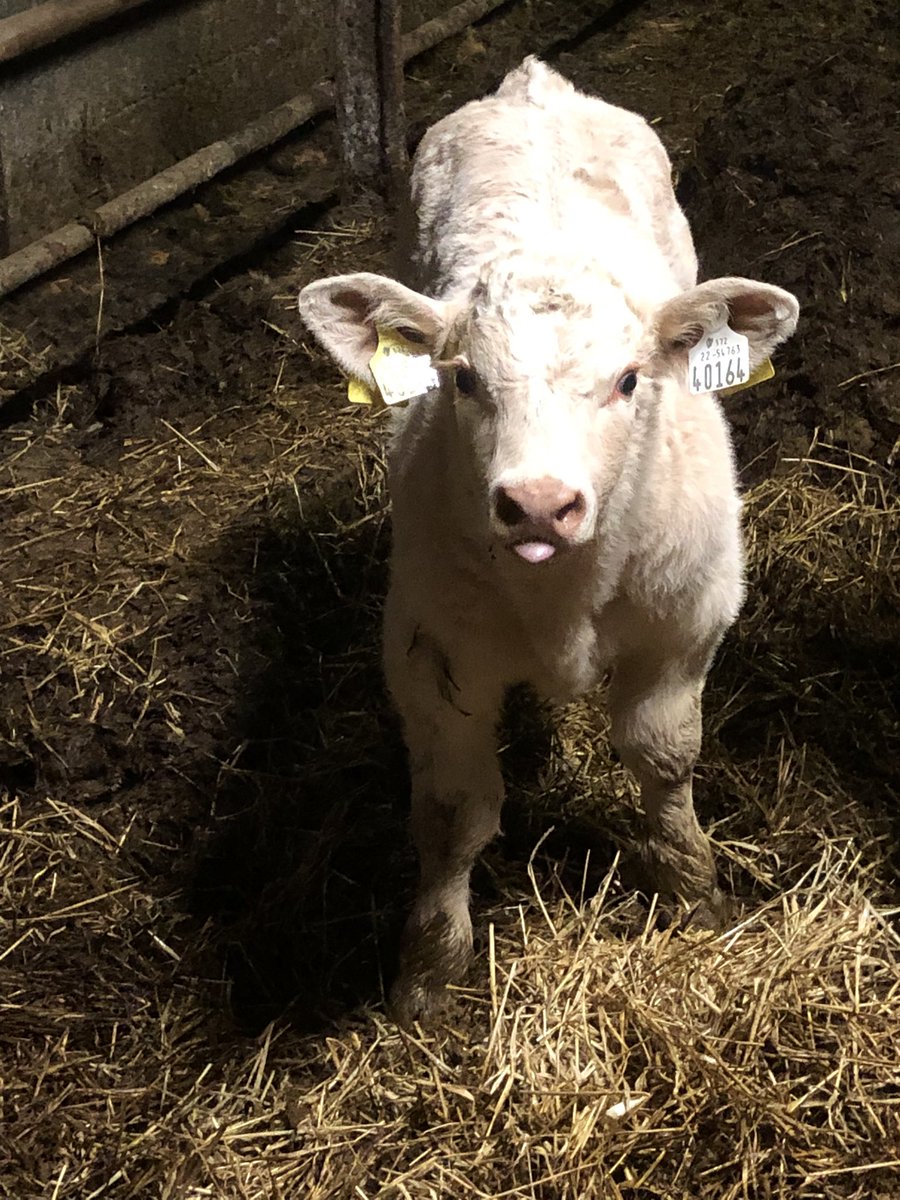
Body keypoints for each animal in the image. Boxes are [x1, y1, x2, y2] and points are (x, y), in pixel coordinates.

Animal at [297, 57, 799, 1024]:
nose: (537, 504)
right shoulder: (426, 649)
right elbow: (454, 811)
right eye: (461, 379)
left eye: (631, 380)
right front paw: (429, 972)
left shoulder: (690, 622)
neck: (563, 600)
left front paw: (695, 894)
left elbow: (663, 756)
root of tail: (534, 82)